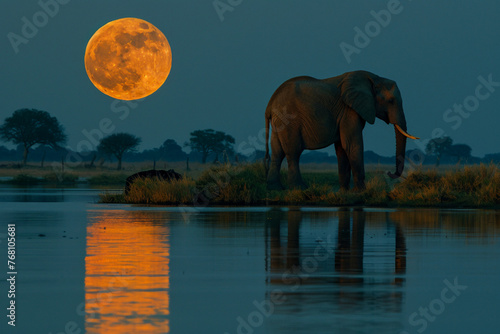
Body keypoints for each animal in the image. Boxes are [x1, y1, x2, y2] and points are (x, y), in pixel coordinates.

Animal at [264, 70, 420, 190]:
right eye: (391, 101)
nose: (389, 172)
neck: (374, 77)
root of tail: (270, 103)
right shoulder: (349, 111)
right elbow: (352, 145)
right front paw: (361, 191)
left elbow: (342, 148)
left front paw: (344, 191)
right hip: (289, 121)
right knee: (293, 153)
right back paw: (299, 188)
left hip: (279, 122)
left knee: (277, 152)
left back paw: (275, 188)